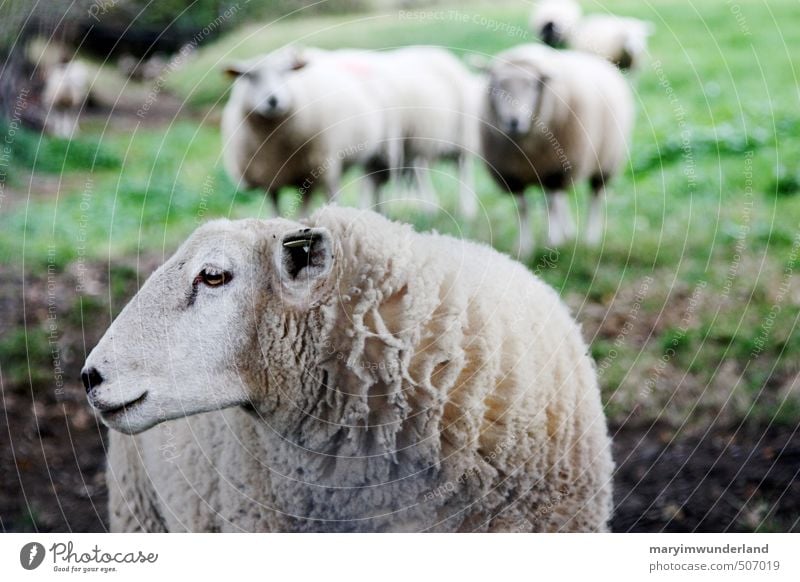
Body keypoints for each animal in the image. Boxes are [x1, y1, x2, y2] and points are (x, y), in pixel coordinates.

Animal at [478, 45, 636, 256]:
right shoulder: (512, 176)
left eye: (533, 85)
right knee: (563, 199)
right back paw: (568, 231)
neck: (526, 148)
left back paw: (590, 238)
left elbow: (551, 205)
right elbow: (523, 209)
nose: (513, 121)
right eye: (496, 85)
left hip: (606, 161)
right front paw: (524, 247)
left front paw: (553, 242)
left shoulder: (554, 170)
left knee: (594, 198)